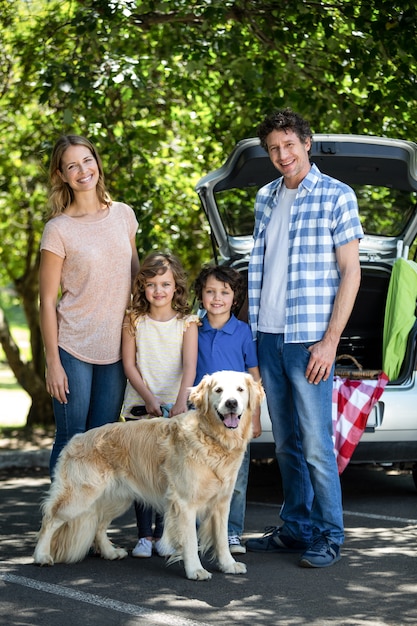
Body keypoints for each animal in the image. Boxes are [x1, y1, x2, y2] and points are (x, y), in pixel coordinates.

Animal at [35, 368, 264, 576]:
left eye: (240, 390)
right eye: (218, 390)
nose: (231, 403)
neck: (211, 438)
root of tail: (75, 439)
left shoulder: (221, 503)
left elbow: (222, 538)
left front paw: (228, 565)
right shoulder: (185, 503)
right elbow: (190, 540)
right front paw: (195, 570)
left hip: (116, 498)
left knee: (99, 524)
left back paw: (110, 552)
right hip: (80, 497)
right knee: (50, 519)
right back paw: (42, 555)